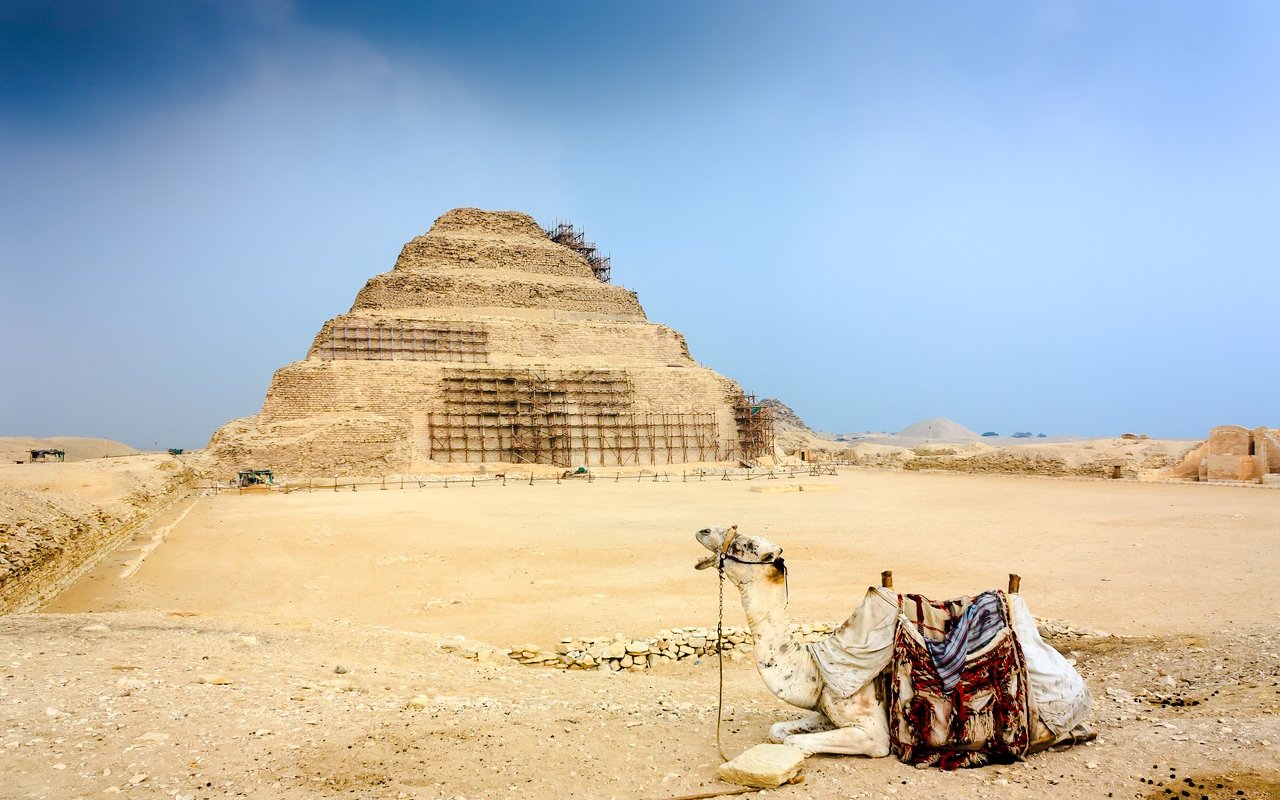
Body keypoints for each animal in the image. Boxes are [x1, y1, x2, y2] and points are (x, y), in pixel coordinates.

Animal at [693, 524, 1092, 760]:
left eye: (746, 544)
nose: (704, 530)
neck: (817, 671)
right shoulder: (827, 714)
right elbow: (778, 730)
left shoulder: (873, 732)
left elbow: (793, 741)